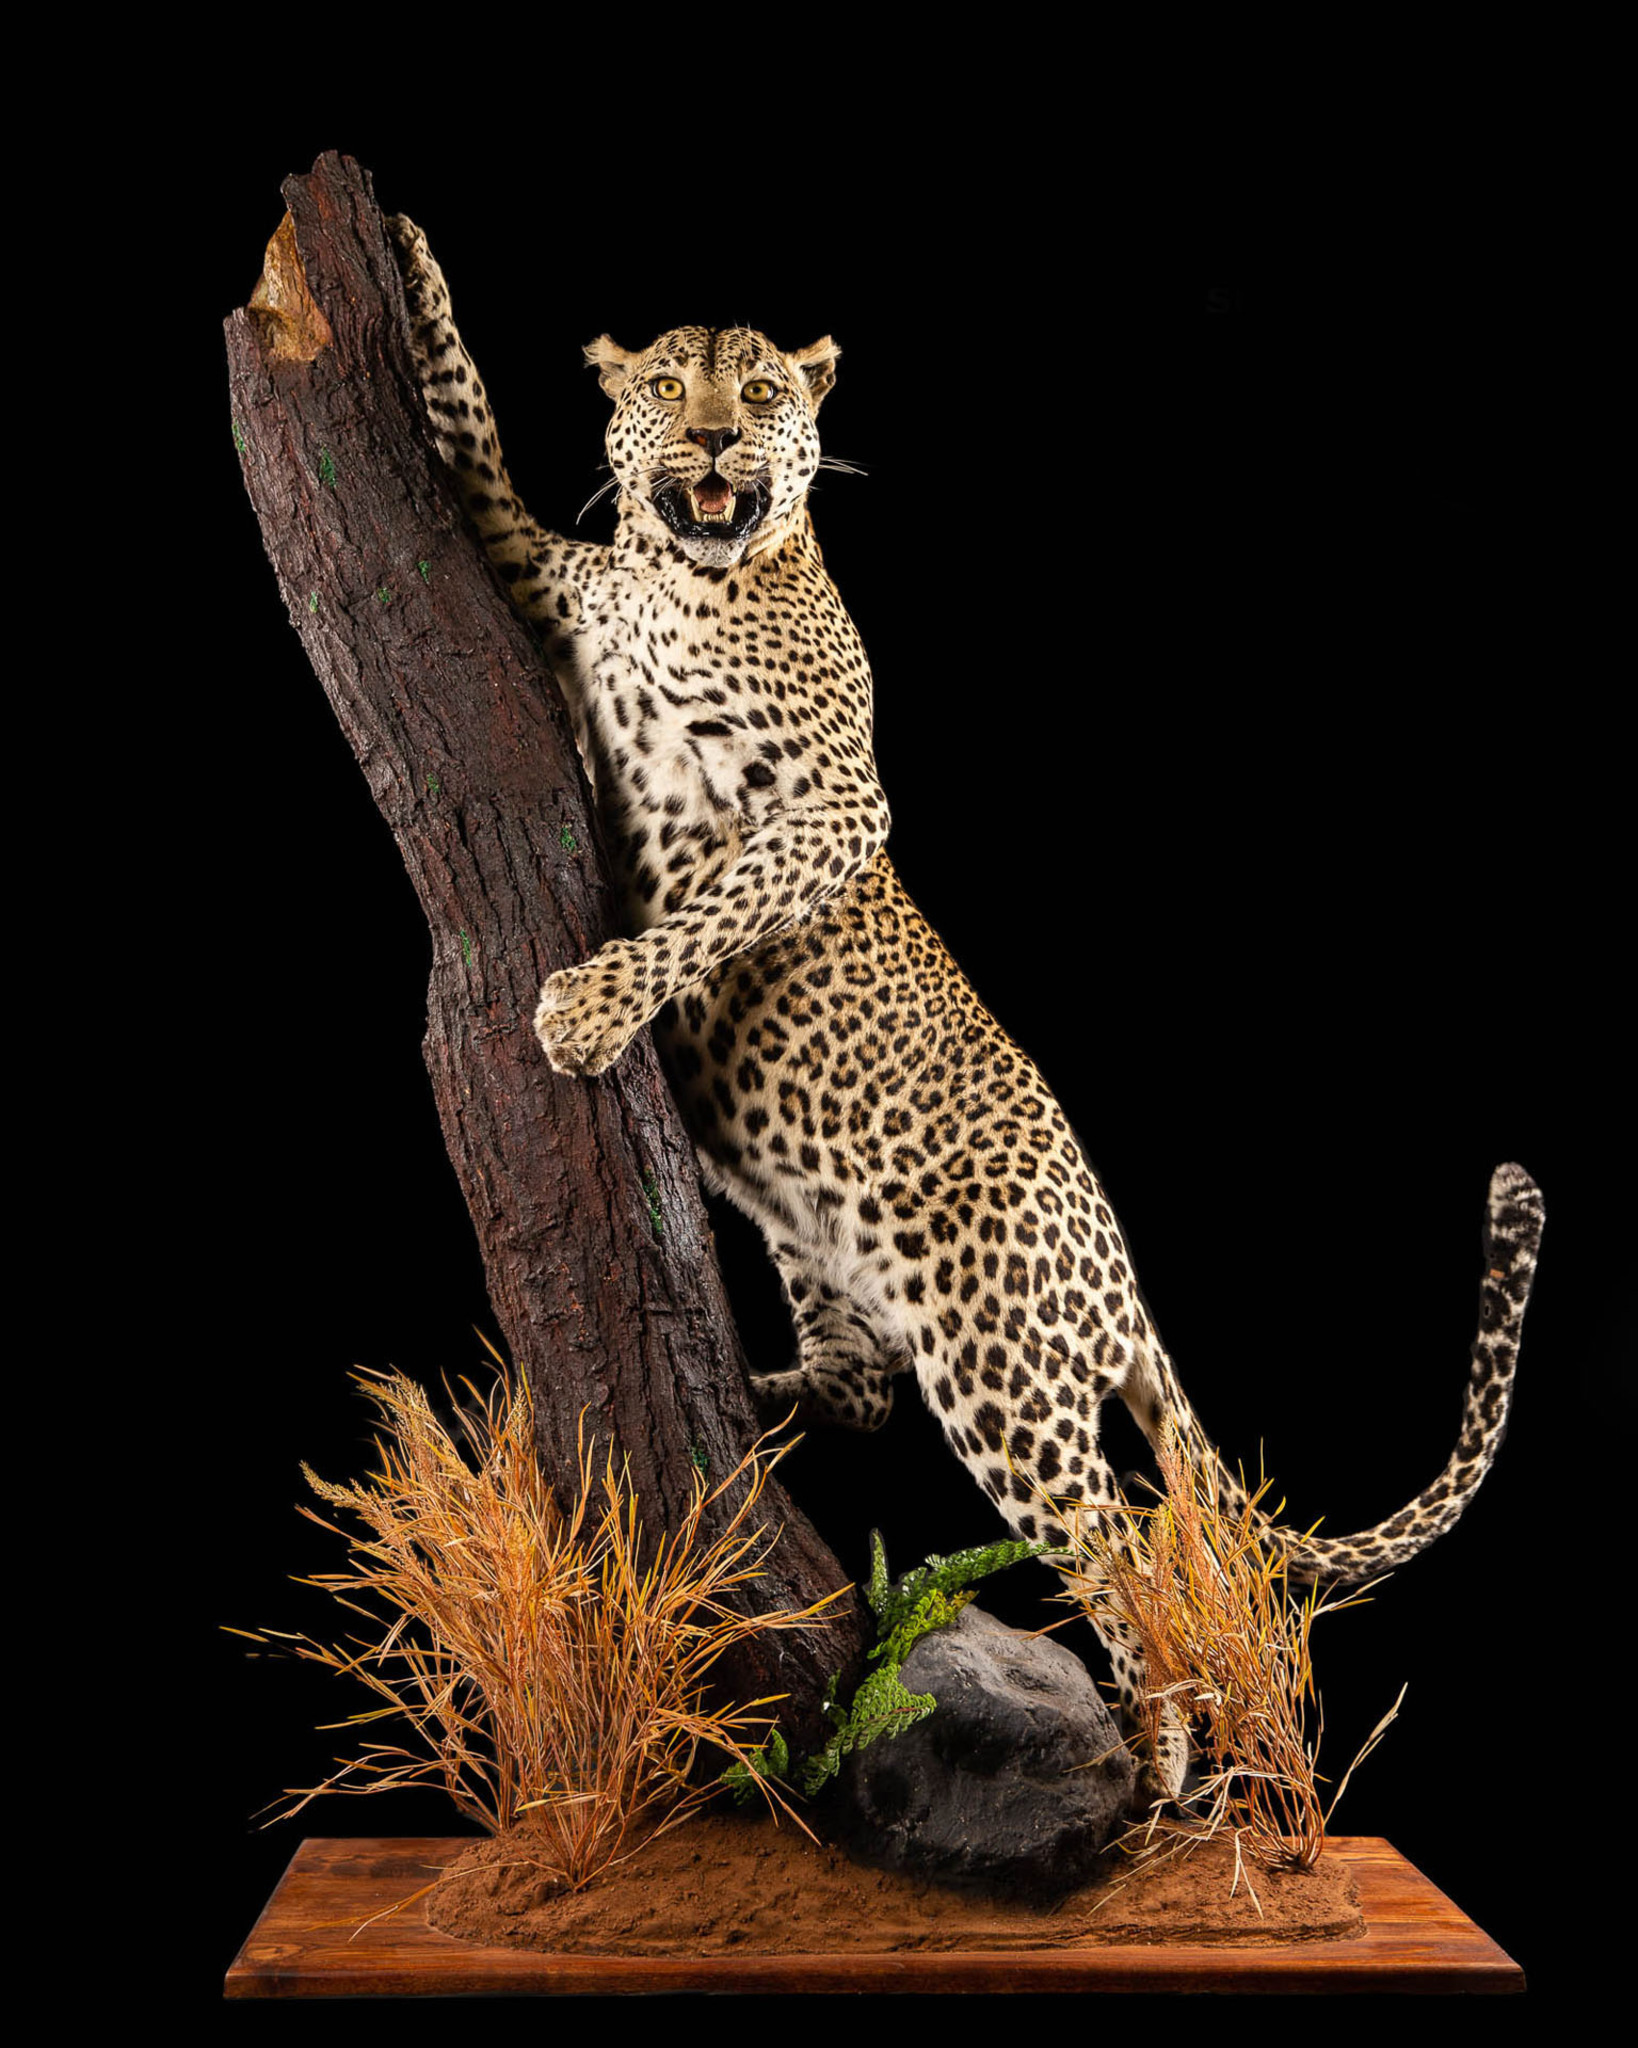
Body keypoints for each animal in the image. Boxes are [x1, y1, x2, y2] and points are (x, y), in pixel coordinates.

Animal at [388, 214, 1545, 1800]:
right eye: (669, 390)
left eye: (759, 394)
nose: (708, 439)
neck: (686, 578)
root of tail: (1118, 1275)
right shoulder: (543, 580)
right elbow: (472, 441)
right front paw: (408, 259)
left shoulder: (837, 804)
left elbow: (712, 908)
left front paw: (586, 1010)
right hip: (825, 1246)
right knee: (872, 1394)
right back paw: (764, 1399)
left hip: (1005, 1364)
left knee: (1124, 1554)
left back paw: (1158, 1773)